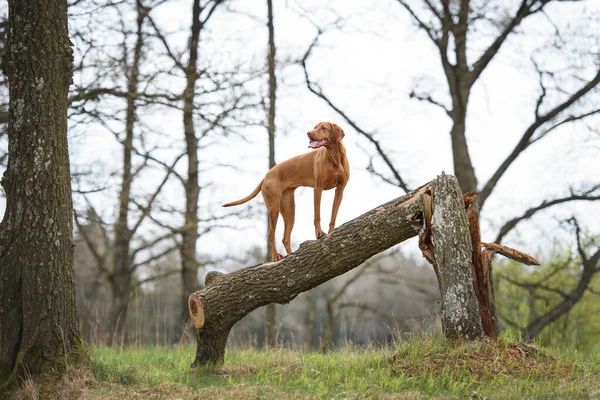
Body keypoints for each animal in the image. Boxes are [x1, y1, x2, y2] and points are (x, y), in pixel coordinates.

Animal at [223, 120, 350, 260]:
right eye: (315, 127)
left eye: (323, 128)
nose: (309, 133)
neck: (334, 156)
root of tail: (266, 176)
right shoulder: (318, 189)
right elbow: (317, 216)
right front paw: (319, 233)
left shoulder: (340, 190)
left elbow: (333, 215)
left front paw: (331, 231)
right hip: (274, 208)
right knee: (271, 235)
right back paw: (275, 256)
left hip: (289, 210)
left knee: (285, 238)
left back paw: (291, 255)